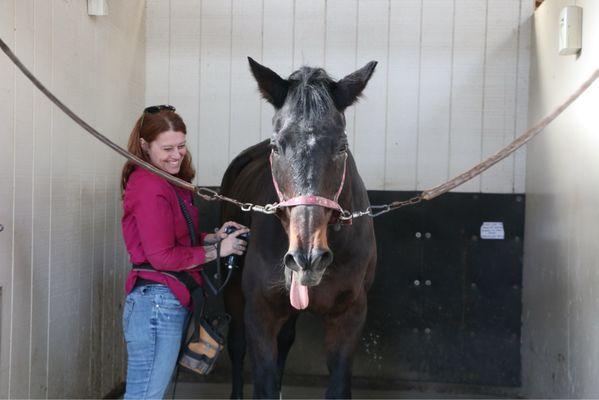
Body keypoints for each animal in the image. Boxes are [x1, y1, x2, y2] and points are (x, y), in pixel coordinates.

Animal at [220, 57, 378, 398]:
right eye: (277, 146)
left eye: (342, 147)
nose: (308, 257)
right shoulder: (260, 313)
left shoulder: (350, 316)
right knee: (236, 344)